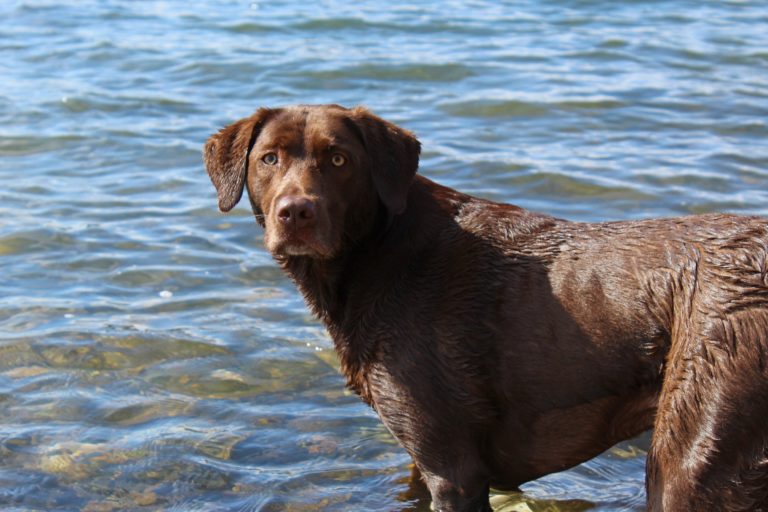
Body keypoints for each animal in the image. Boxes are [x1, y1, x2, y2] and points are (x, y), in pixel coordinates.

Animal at [204, 104, 768, 511]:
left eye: (339, 160)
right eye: (269, 159)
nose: (295, 212)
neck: (380, 250)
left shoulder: (454, 472)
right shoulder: (424, 460)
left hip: (692, 456)